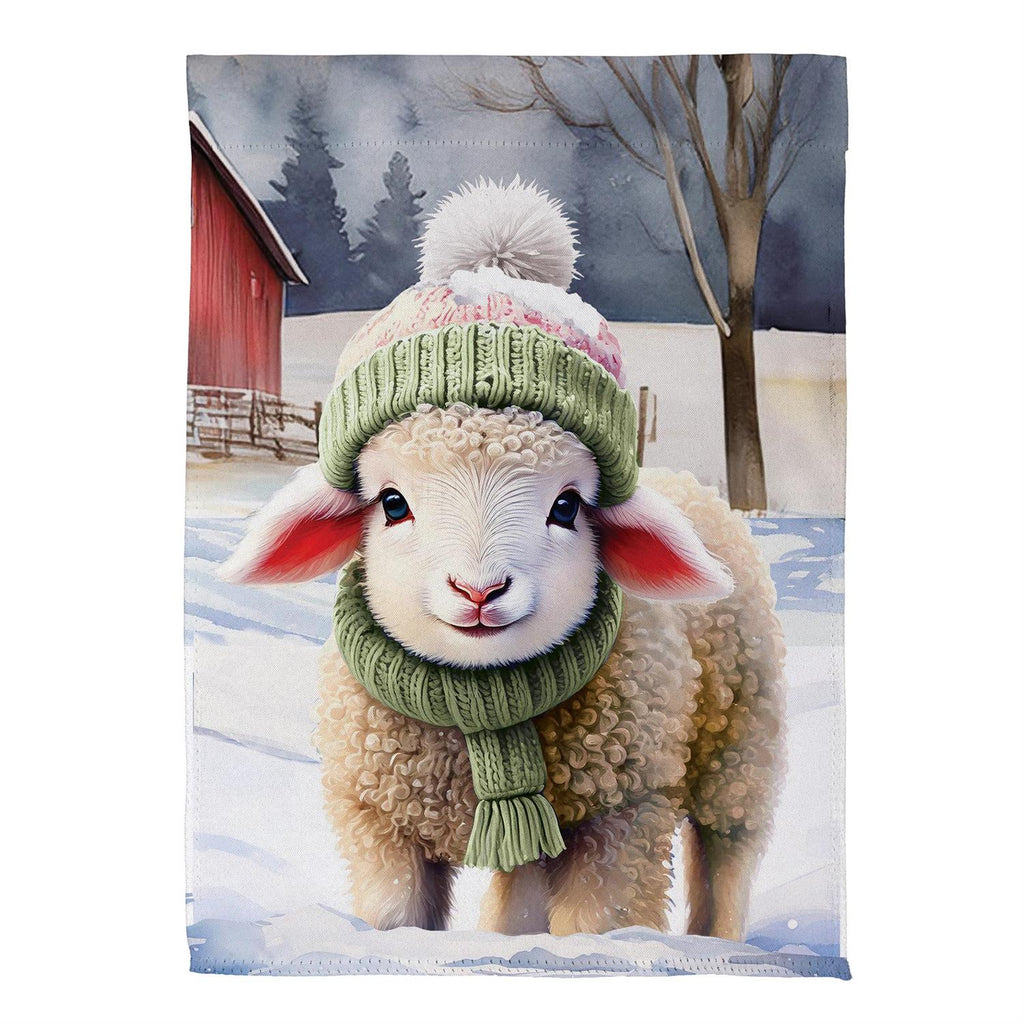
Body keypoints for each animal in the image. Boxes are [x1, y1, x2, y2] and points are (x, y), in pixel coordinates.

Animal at [221, 179, 785, 941]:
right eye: (392, 503)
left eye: (569, 506)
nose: (479, 589)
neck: (477, 702)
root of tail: (693, 486)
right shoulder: (379, 820)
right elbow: (396, 917)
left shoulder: (622, 813)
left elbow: (599, 924)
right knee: (519, 891)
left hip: (740, 753)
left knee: (727, 856)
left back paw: (713, 939)